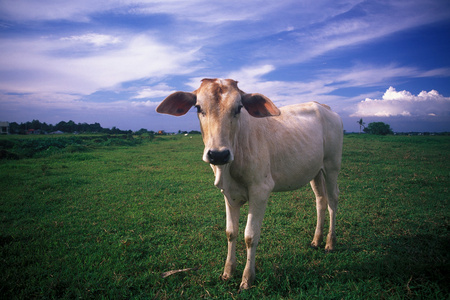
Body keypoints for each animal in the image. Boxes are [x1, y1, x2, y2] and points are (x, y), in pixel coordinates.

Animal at [156, 78, 342, 290]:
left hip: (332, 165)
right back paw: (316, 240)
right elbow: (231, 232)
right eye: (198, 107)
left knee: (333, 201)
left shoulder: (261, 190)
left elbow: (250, 236)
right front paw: (228, 271)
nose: (218, 154)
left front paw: (247, 278)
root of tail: (324, 107)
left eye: (239, 107)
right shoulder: (228, 193)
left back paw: (330, 243)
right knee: (320, 200)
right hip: (315, 171)